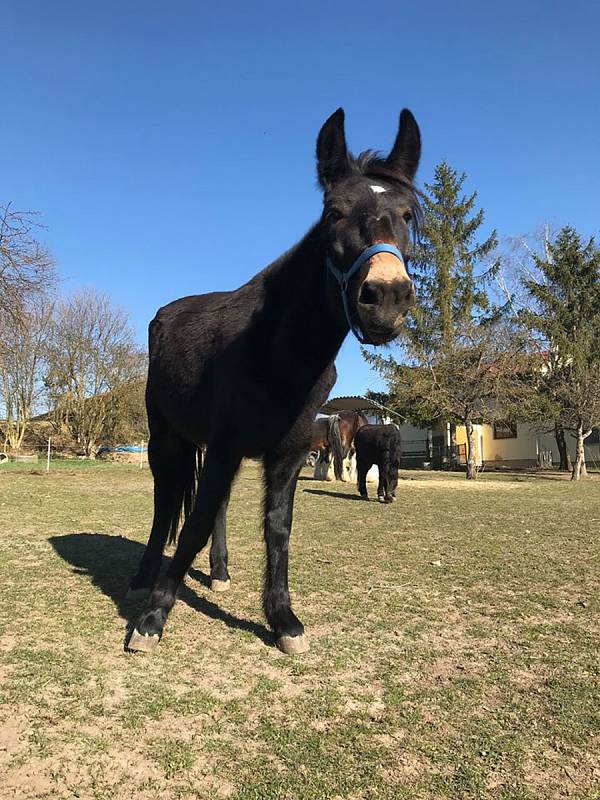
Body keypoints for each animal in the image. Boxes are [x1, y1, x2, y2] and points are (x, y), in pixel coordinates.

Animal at [126, 108, 420, 656]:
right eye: (333, 213)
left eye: (408, 216)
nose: (387, 297)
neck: (278, 351)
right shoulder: (224, 446)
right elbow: (192, 522)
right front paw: (152, 619)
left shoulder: (285, 454)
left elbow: (277, 529)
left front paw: (283, 620)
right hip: (166, 439)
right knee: (166, 502)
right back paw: (144, 576)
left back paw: (218, 572)